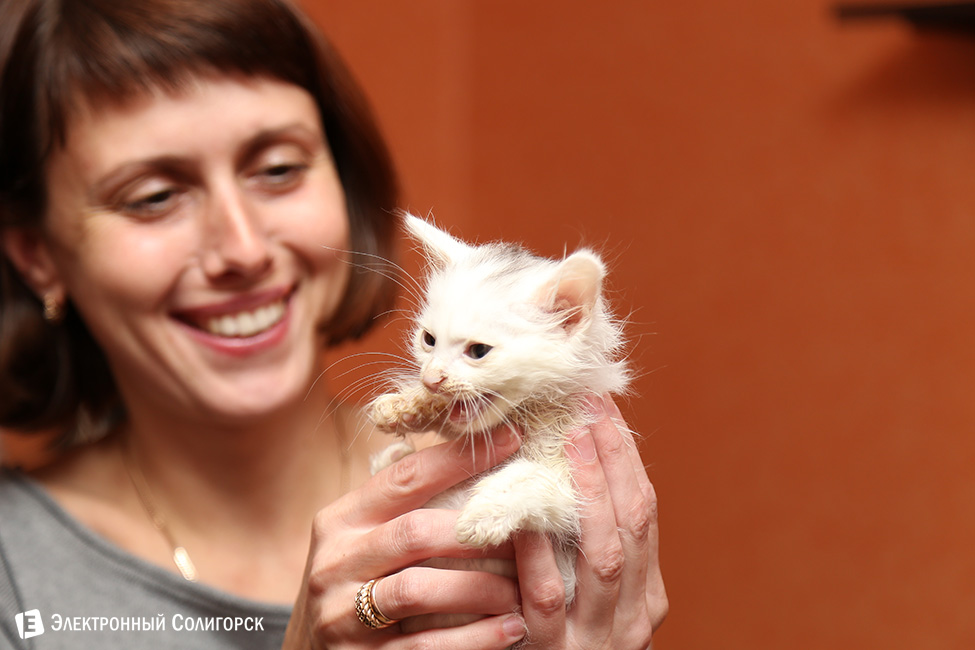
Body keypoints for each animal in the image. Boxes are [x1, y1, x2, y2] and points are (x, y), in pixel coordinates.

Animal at [367, 213, 630, 617]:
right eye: (428, 340)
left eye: (478, 351)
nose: (432, 378)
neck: (529, 413)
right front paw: (405, 405)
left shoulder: (576, 495)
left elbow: (531, 478)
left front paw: (484, 513)